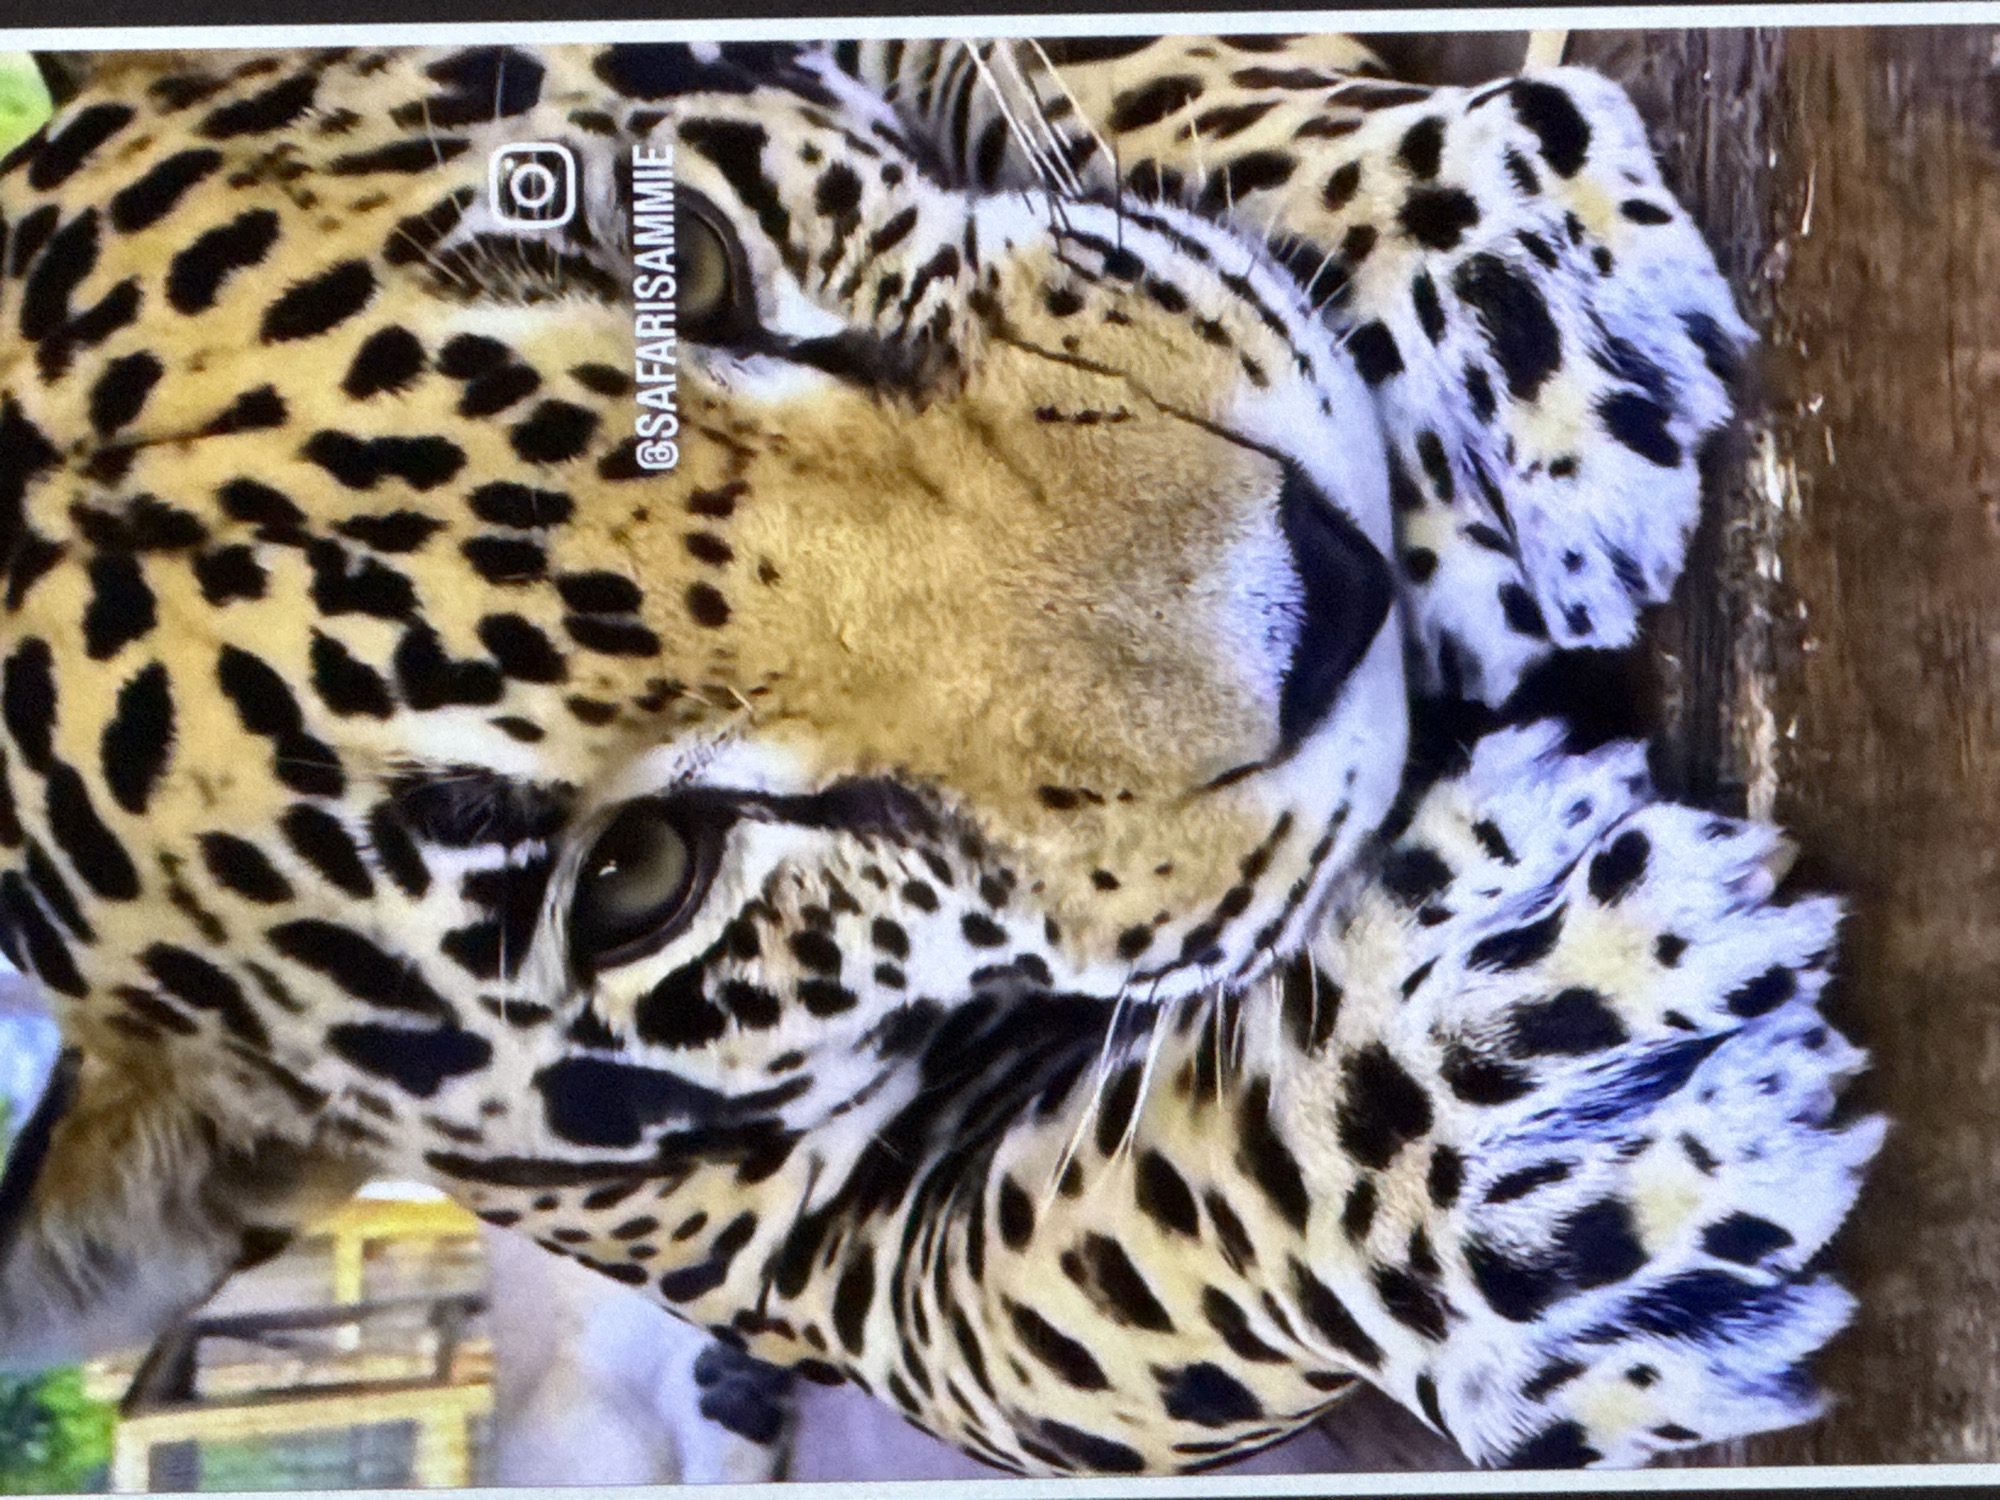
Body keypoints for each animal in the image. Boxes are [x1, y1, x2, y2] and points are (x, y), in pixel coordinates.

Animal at [0, 35, 1883, 1476]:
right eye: (635, 883)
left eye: (699, 262)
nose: (1333, 587)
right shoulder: (822, 1263)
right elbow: (1109, 1274)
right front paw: (1537, 1118)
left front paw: (1499, 307)